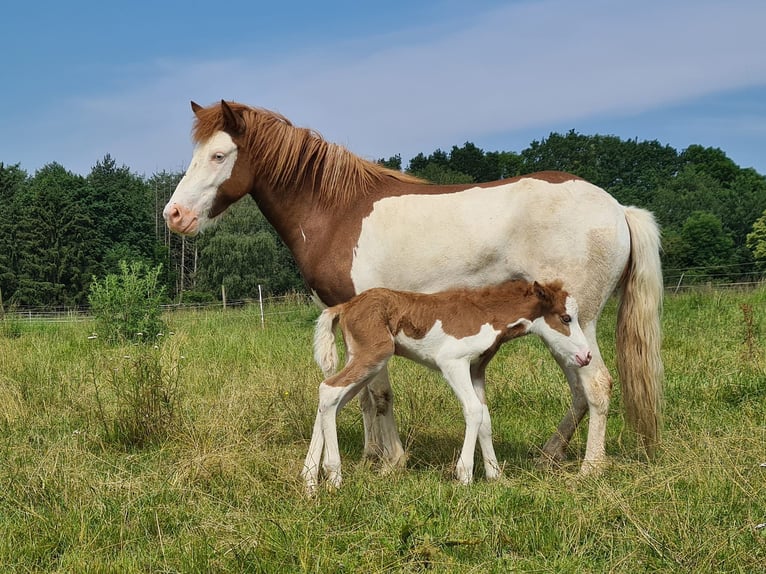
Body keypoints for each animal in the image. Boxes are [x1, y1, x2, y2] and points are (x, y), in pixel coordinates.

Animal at [304, 280, 592, 496]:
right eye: (566, 318)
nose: (586, 356)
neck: (488, 316)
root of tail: (345, 306)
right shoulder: (452, 362)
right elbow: (474, 411)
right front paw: (464, 475)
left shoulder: (476, 370)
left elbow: (486, 418)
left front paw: (495, 475)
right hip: (373, 355)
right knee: (329, 389)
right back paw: (333, 475)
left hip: (366, 361)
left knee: (331, 399)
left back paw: (309, 481)